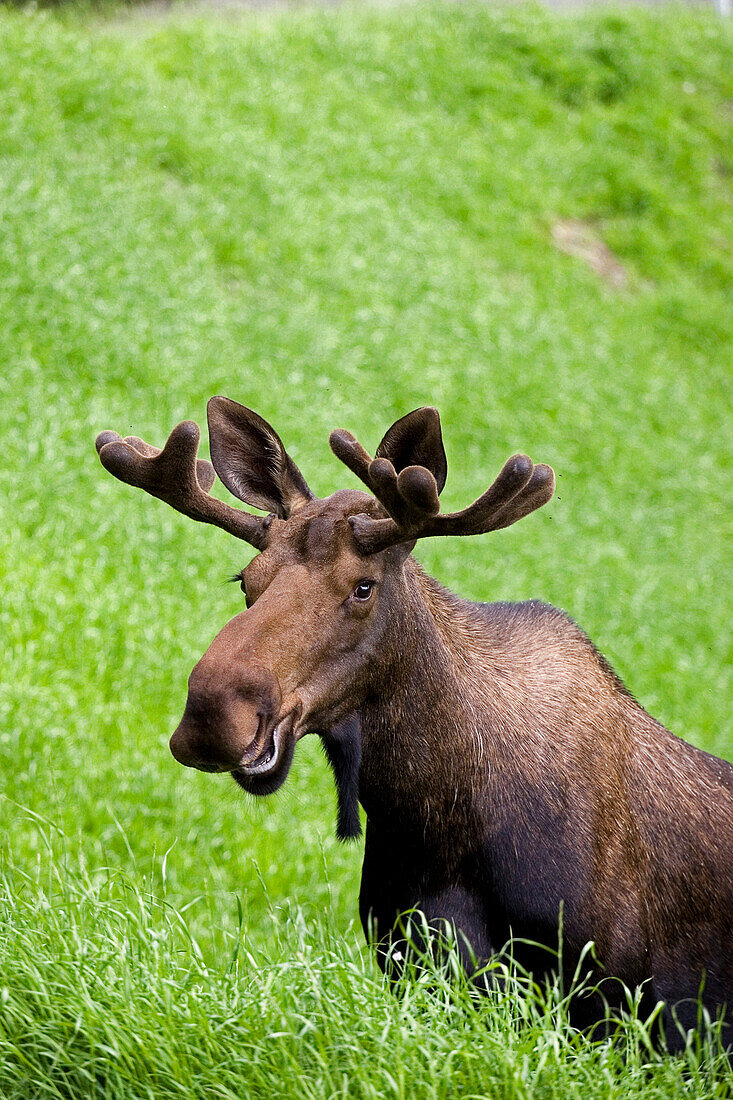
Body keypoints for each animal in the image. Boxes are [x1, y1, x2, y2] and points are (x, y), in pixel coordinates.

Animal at [96, 402, 730, 1047]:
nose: (211, 717)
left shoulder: (622, 1001)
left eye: (364, 586)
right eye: (246, 581)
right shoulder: (412, 963)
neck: (434, 818)